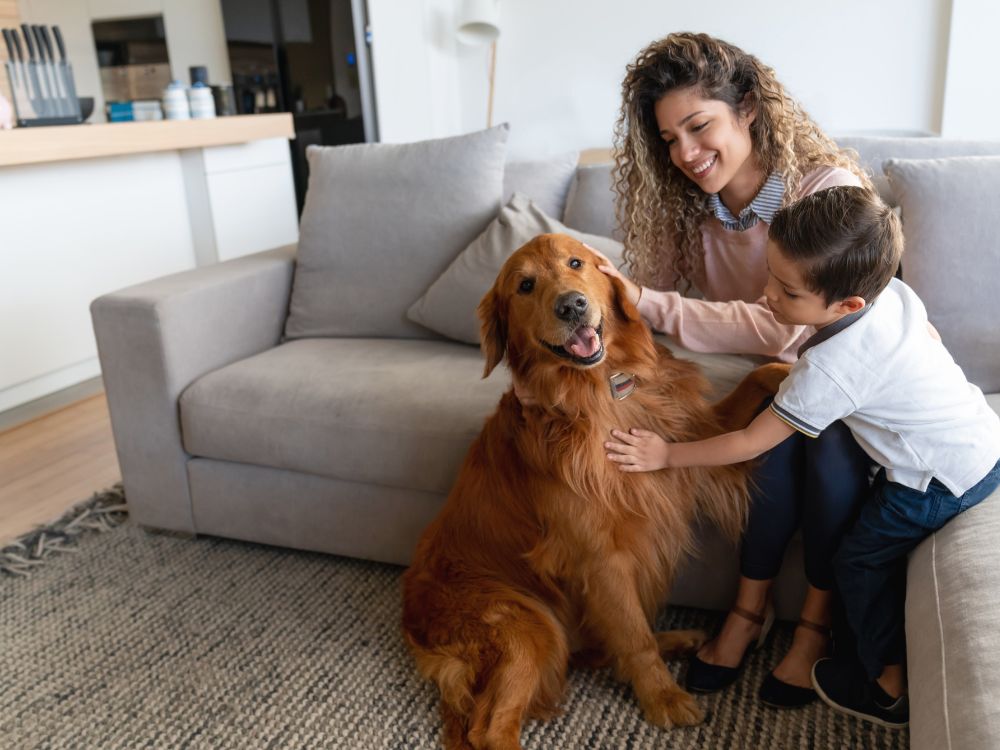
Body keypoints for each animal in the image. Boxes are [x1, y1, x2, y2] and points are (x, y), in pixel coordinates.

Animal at [402, 232, 784, 748]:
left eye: (576, 263)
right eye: (525, 285)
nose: (571, 305)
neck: (602, 391)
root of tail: (411, 616)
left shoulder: (697, 433)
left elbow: (760, 379)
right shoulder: (599, 557)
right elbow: (633, 636)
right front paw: (662, 698)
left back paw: (679, 639)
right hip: (528, 625)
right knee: (491, 727)